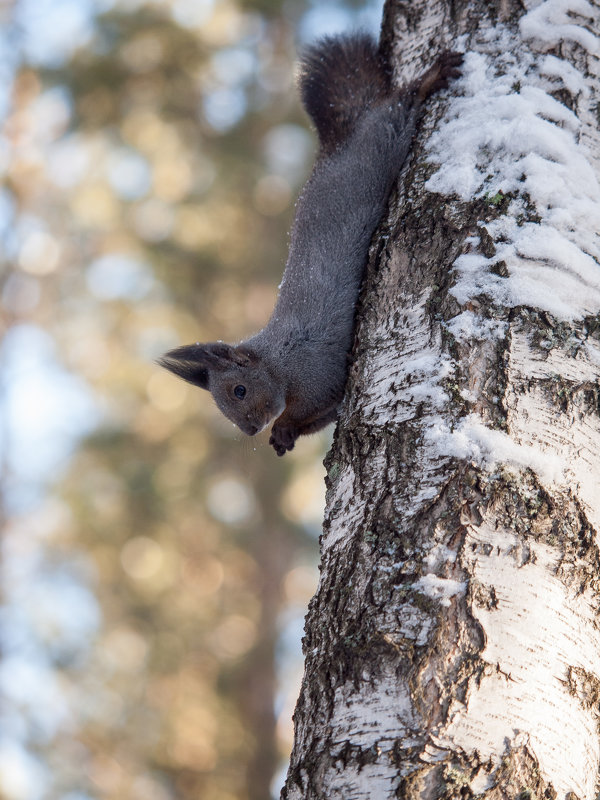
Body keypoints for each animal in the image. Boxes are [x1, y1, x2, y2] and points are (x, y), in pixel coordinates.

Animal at [157, 34, 462, 456]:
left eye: (239, 390)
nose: (250, 430)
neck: (279, 365)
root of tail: (337, 146)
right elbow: (323, 414)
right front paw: (283, 433)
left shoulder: (317, 371)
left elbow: (323, 401)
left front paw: (284, 427)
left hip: (380, 144)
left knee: (395, 109)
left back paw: (429, 79)